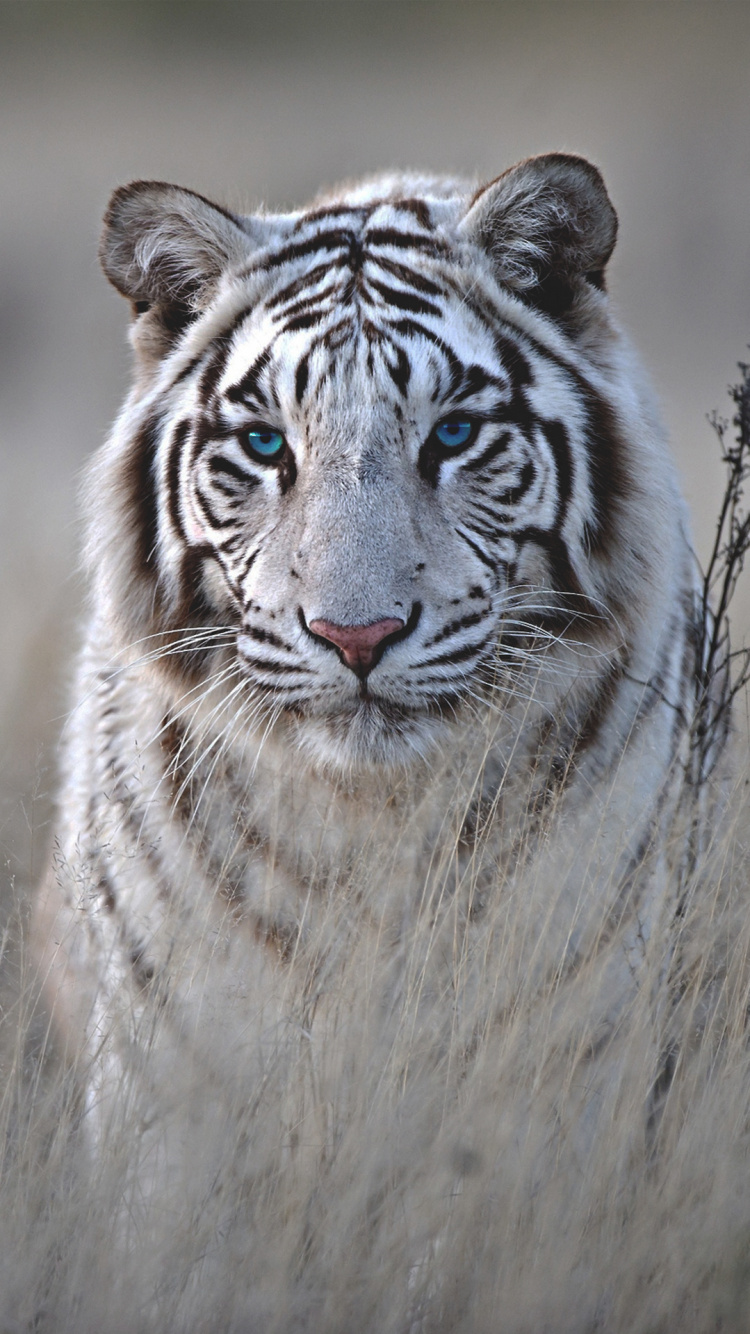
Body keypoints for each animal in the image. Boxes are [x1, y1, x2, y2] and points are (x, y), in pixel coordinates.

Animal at [34, 154, 724, 1156]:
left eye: (453, 434)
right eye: (265, 443)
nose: (356, 635)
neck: (374, 825)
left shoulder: (565, 1076)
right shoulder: (173, 1090)